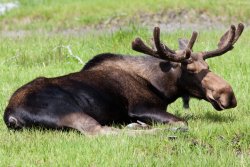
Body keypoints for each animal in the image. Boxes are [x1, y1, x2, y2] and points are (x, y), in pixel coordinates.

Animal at [2, 23, 243, 135]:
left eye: (208, 66)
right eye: (191, 69)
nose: (229, 95)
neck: (161, 86)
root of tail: (11, 116)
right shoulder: (140, 106)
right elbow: (182, 122)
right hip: (68, 111)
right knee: (101, 132)